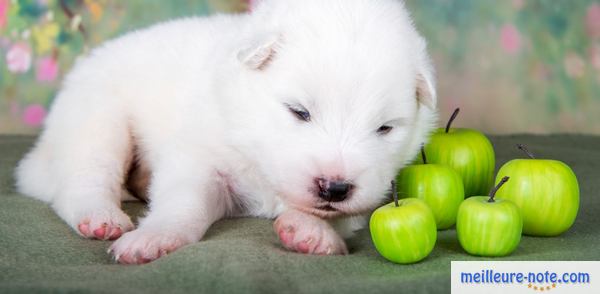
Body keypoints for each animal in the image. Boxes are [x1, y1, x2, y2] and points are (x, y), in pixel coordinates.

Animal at [14, 0, 436, 264]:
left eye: (384, 128)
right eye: (299, 112)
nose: (335, 188)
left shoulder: (371, 189)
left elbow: (344, 215)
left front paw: (312, 231)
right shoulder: (199, 159)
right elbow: (183, 203)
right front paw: (154, 237)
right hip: (97, 120)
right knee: (81, 183)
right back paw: (101, 217)